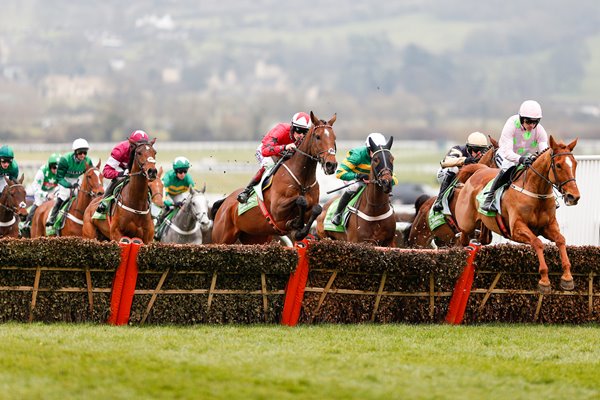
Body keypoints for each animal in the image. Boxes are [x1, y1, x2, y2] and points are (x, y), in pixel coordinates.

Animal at [212, 111, 338, 244]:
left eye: (334, 138)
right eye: (318, 136)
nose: (331, 165)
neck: (303, 181)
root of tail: (224, 203)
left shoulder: (312, 207)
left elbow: (317, 209)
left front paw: (299, 229)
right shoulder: (277, 209)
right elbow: (301, 200)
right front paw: (295, 223)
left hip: (256, 237)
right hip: (222, 238)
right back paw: (244, 195)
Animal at [458, 136, 580, 292]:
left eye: (575, 164)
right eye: (558, 165)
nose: (573, 196)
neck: (537, 193)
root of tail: (480, 170)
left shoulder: (548, 226)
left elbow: (561, 240)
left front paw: (567, 277)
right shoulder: (516, 229)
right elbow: (537, 242)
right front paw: (544, 280)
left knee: (482, 239)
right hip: (466, 223)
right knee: (463, 239)